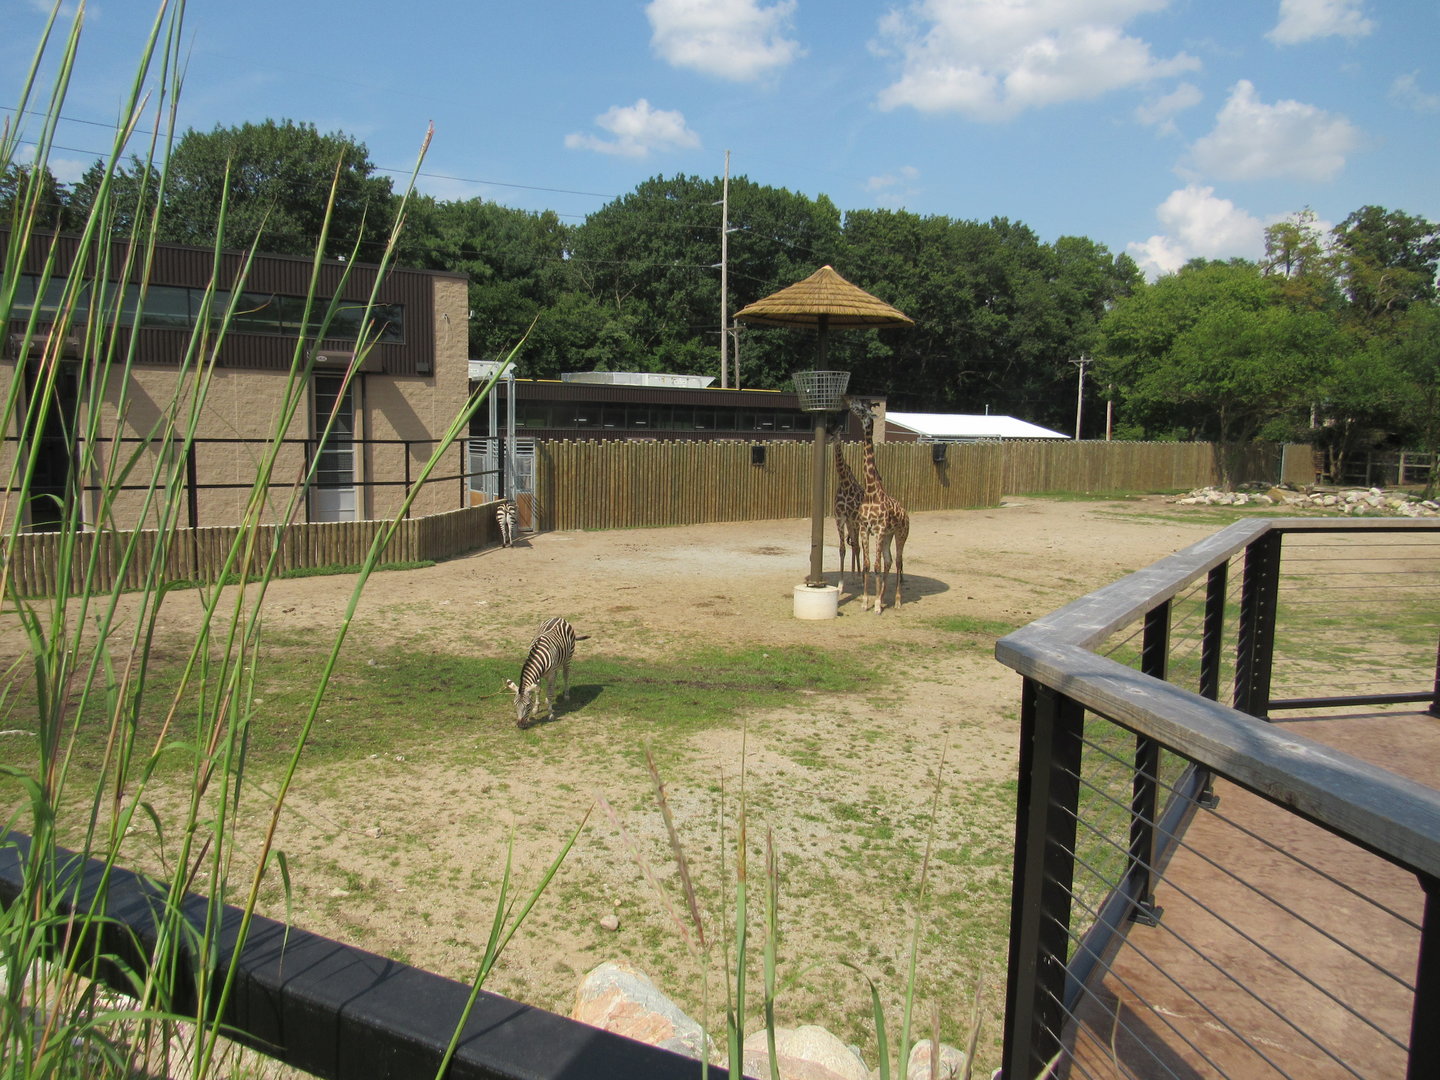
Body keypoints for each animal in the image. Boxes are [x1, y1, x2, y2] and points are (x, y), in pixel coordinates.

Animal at [849, 399, 909, 613]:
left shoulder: (880, 529)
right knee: (888, 561)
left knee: (898, 562)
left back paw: (897, 601)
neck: (871, 492)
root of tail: (906, 514)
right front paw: (867, 602)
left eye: (862, 408)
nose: (849, 401)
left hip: (900, 534)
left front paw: (874, 605)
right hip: (888, 536)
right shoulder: (865, 529)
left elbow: (875, 565)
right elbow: (868, 565)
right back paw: (882, 598)